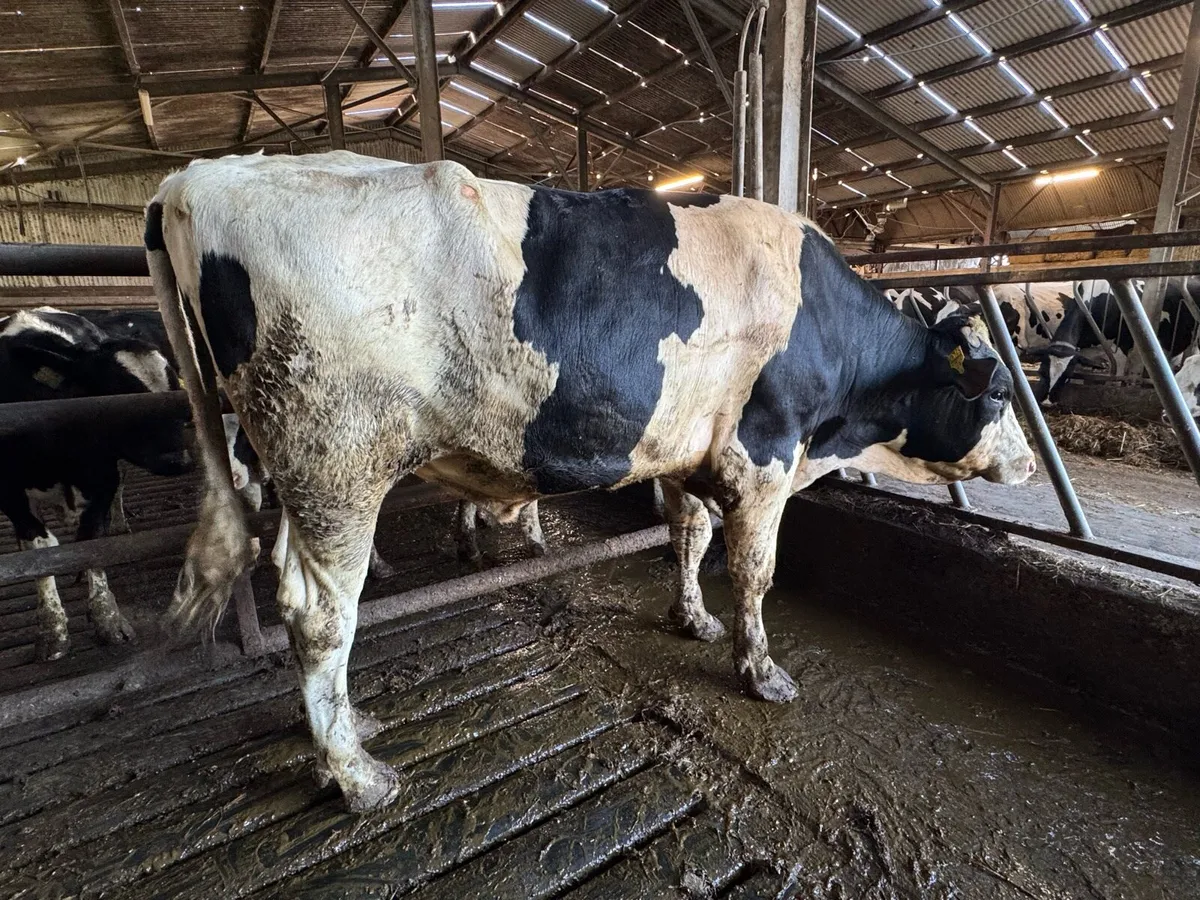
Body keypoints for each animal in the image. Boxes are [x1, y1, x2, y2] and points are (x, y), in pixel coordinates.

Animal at [0, 308, 193, 660]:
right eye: (114, 394)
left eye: (173, 390)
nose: (179, 460)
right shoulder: (8, 492)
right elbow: (39, 548)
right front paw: (52, 631)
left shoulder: (102, 477)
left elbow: (94, 543)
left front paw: (108, 620)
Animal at [146, 152, 1033, 810]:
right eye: (997, 391)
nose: (1026, 465)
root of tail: (195, 176)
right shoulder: (764, 454)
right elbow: (755, 571)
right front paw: (761, 671)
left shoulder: (686, 450)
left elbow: (689, 537)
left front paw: (692, 620)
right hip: (338, 461)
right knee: (321, 614)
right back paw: (358, 776)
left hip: (303, 476)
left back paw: (350, 729)